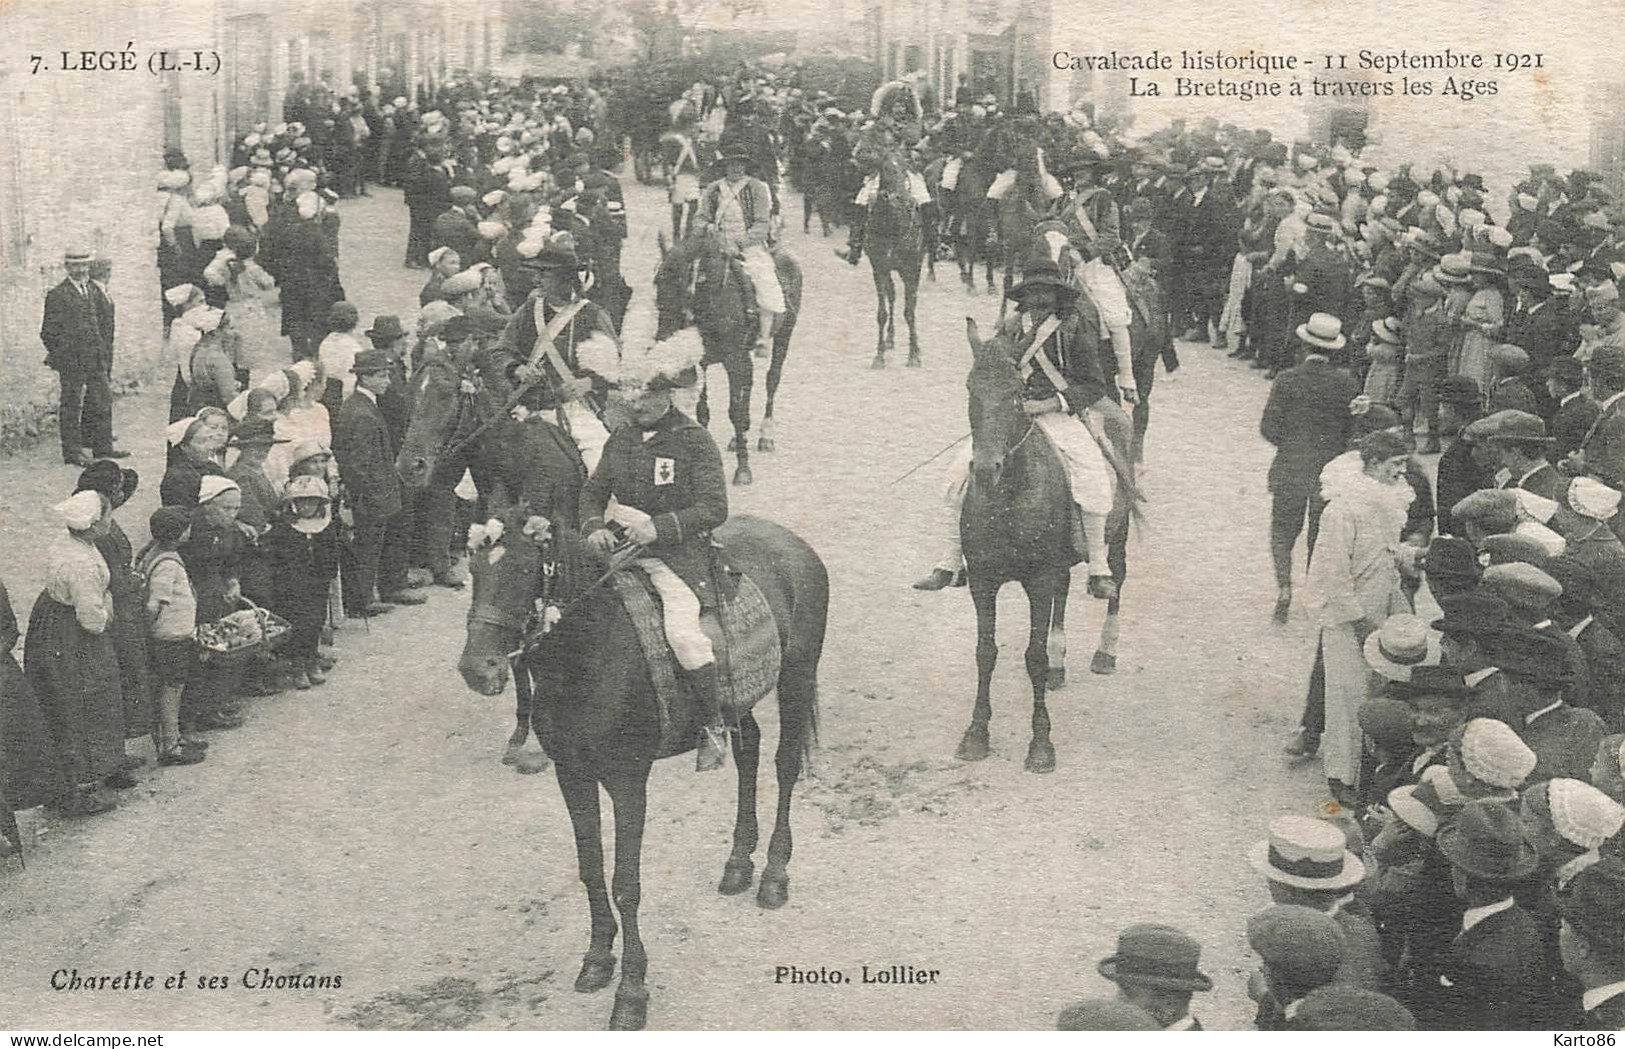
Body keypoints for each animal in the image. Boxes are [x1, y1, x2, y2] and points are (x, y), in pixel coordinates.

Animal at [464, 513, 832, 1032]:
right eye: (474, 571)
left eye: (521, 571)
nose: (476, 669)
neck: (591, 651)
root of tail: (790, 542)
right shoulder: (571, 775)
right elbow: (591, 869)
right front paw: (598, 959)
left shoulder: (627, 783)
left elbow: (626, 885)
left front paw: (631, 993)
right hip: (737, 702)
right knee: (749, 752)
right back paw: (738, 863)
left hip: (796, 677)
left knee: (784, 767)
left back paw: (774, 875)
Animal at [656, 230, 802, 483]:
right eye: (658, 282)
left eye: (680, 282)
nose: (663, 336)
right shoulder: (702, 362)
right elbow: (703, 411)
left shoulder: (733, 359)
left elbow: (734, 410)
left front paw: (743, 469)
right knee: (749, 381)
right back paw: (740, 435)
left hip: (784, 335)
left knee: (771, 380)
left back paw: (765, 435)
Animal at [955, 318, 1137, 772]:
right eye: (970, 388)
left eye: (1017, 393)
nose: (985, 469)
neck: (1008, 497)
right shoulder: (982, 581)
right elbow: (985, 652)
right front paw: (977, 734)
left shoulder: (1037, 580)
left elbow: (1032, 656)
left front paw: (1040, 743)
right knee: (1064, 591)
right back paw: (1059, 664)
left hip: (1118, 536)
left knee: (1116, 582)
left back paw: (1105, 651)